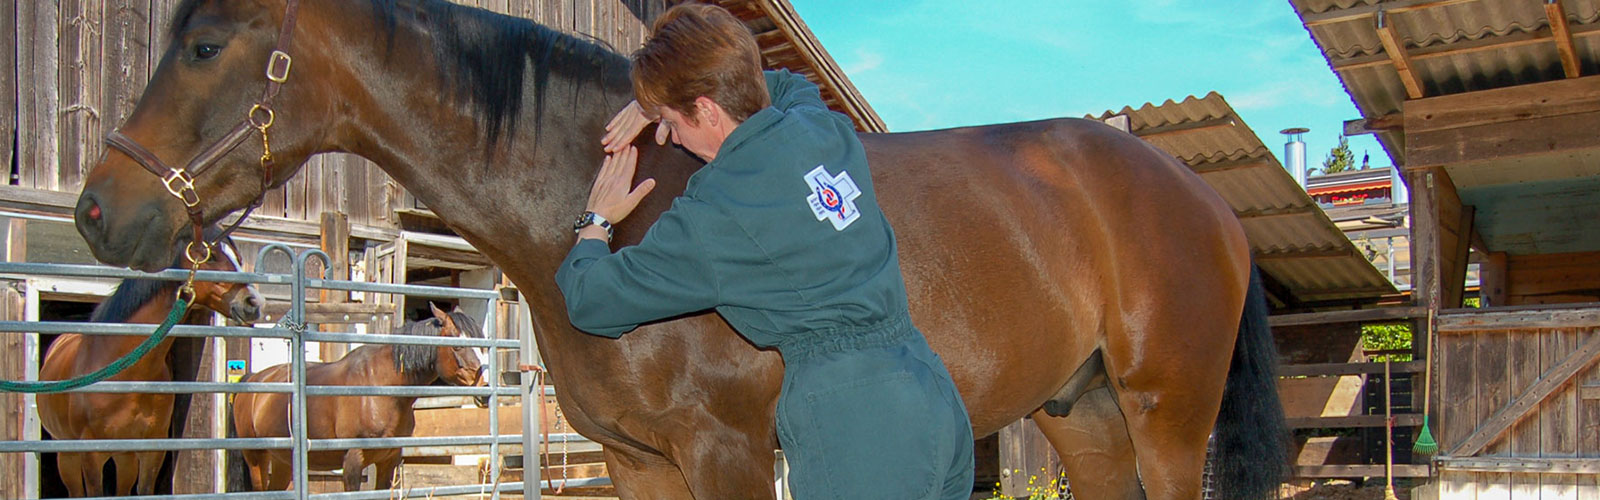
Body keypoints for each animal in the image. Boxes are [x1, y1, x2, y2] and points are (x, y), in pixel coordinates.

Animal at [37, 233, 264, 496]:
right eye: (212, 256)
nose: (253, 302)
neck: (127, 372)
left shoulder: (151, 451)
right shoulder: (91, 455)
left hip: (124, 457)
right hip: (67, 455)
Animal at [230, 302, 480, 490]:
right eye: (457, 346)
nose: (483, 384)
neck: (381, 389)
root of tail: (254, 378)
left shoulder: (388, 461)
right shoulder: (352, 461)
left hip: (282, 459)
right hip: (256, 458)